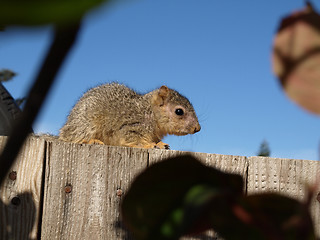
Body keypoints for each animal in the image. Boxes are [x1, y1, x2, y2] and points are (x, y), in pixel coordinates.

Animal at [58, 83, 200, 149]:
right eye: (179, 111)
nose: (197, 128)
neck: (150, 112)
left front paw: (160, 144)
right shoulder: (132, 127)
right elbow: (135, 140)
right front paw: (149, 145)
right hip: (85, 125)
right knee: (74, 137)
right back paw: (91, 140)